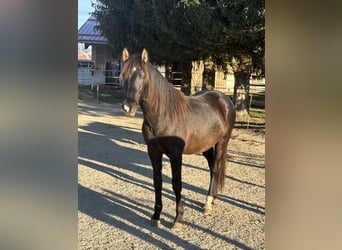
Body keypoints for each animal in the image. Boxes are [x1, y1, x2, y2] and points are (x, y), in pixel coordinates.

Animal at [119, 47, 235, 229]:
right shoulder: (153, 152)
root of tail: (224, 100)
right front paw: (156, 216)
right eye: (123, 75)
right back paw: (212, 200)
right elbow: (157, 182)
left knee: (216, 168)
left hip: (221, 143)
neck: (164, 115)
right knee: (211, 168)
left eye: (143, 77)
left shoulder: (175, 154)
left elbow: (176, 184)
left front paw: (178, 219)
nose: (127, 108)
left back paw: (208, 204)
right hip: (206, 146)